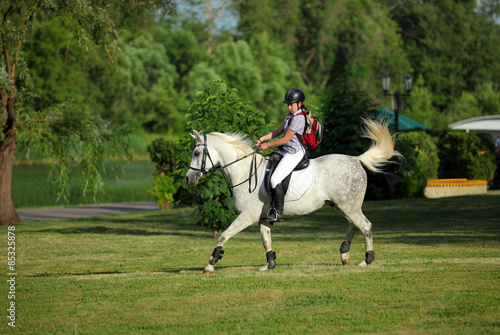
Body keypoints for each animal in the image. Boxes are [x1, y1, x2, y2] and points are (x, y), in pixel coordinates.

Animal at [186, 118, 400, 276]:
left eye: (196, 152)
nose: (188, 179)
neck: (245, 172)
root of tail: (356, 160)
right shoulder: (262, 218)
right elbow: (266, 240)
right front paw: (269, 264)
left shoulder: (247, 216)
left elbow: (223, 235)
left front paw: (210, 265)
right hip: (341, 206)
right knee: (355, 225)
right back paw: (344, 254)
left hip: (349, 206)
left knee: (365, 226)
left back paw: (366, 260)